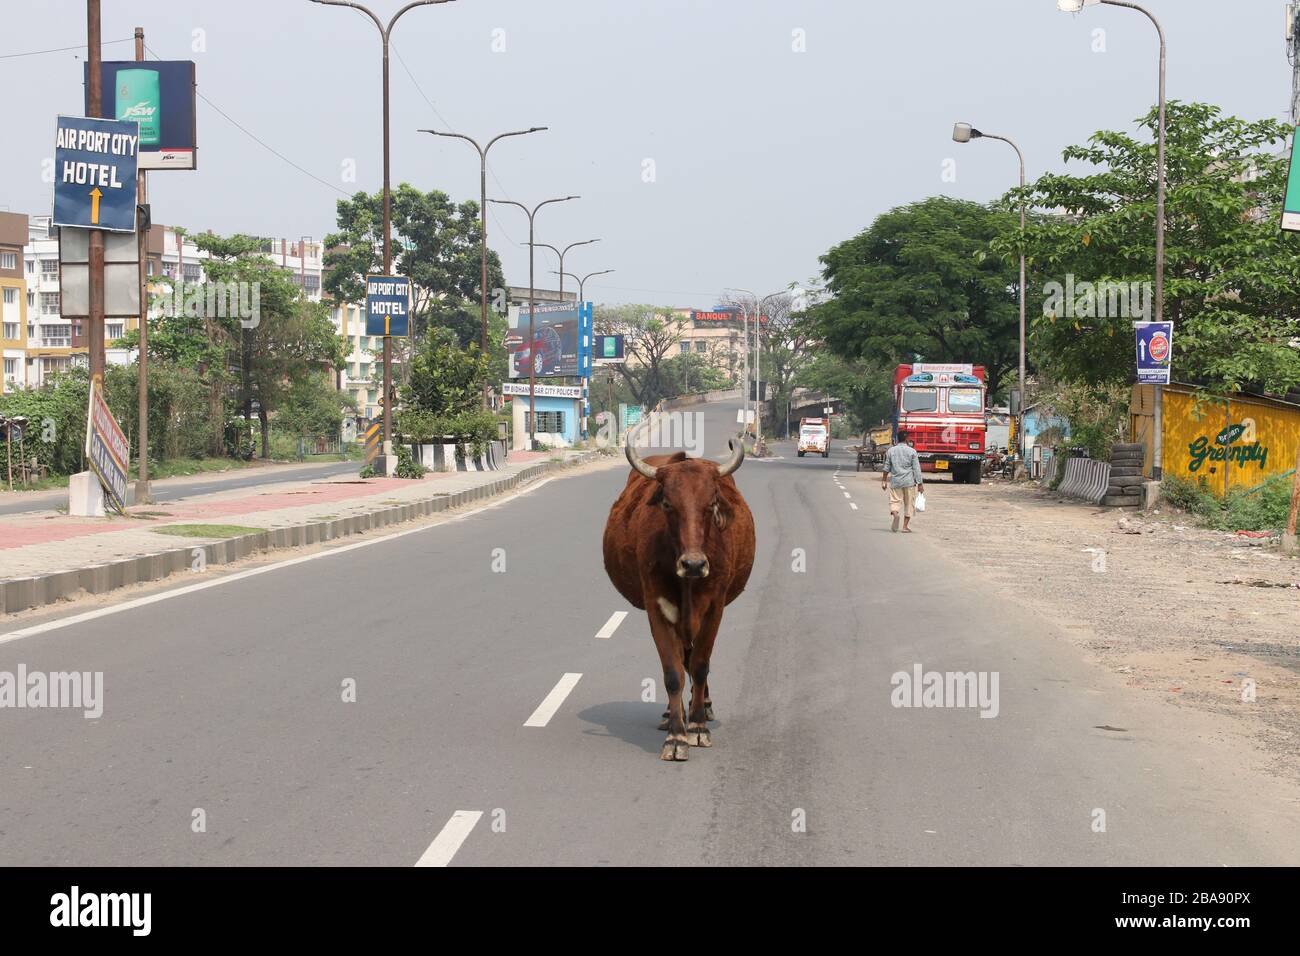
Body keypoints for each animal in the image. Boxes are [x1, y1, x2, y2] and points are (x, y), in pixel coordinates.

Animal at [603, 437, 759, 759]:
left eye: (710, 504)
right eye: (667, 504)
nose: (694, 564)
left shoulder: (714, 608)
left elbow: (699, 666)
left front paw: (698, 726)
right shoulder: (657, 608)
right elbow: (673, 671)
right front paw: (676, 736)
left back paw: (704, 707)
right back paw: (669, 714)